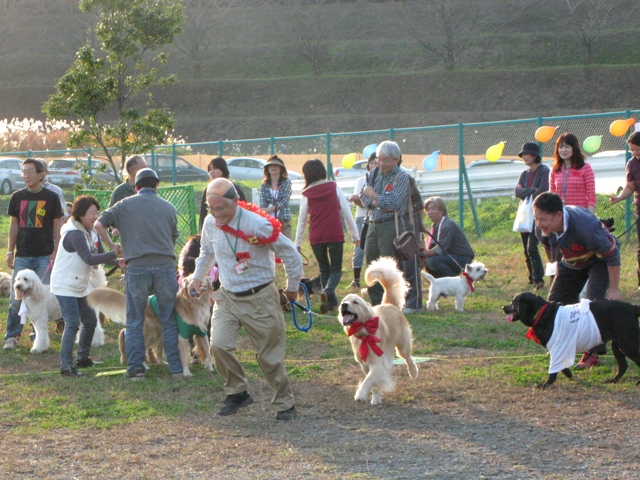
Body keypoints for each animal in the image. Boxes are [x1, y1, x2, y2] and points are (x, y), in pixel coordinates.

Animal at [338, 255, 418, 404]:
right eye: (343, 301)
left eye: (355, 302)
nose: (343, 305)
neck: (364, 331)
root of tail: (390, 304)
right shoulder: (364, 365)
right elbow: (373, 383)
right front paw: (376, 397)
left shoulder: (378, 363)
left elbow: (368, 380)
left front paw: (360, 394)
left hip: (402, 344)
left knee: (408, 357)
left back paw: (413, 371)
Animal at [502, 290, 640, 388]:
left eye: (513, 302)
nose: (503, 307)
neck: (542, 313)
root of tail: (633, 308)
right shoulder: (560, 349)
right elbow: (561, 366)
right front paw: (569, 374)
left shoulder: (558, 348)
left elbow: (554, 368)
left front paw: (546, 384)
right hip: (617, 345)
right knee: (623, 366)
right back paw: (612, 380)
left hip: (628, 344)